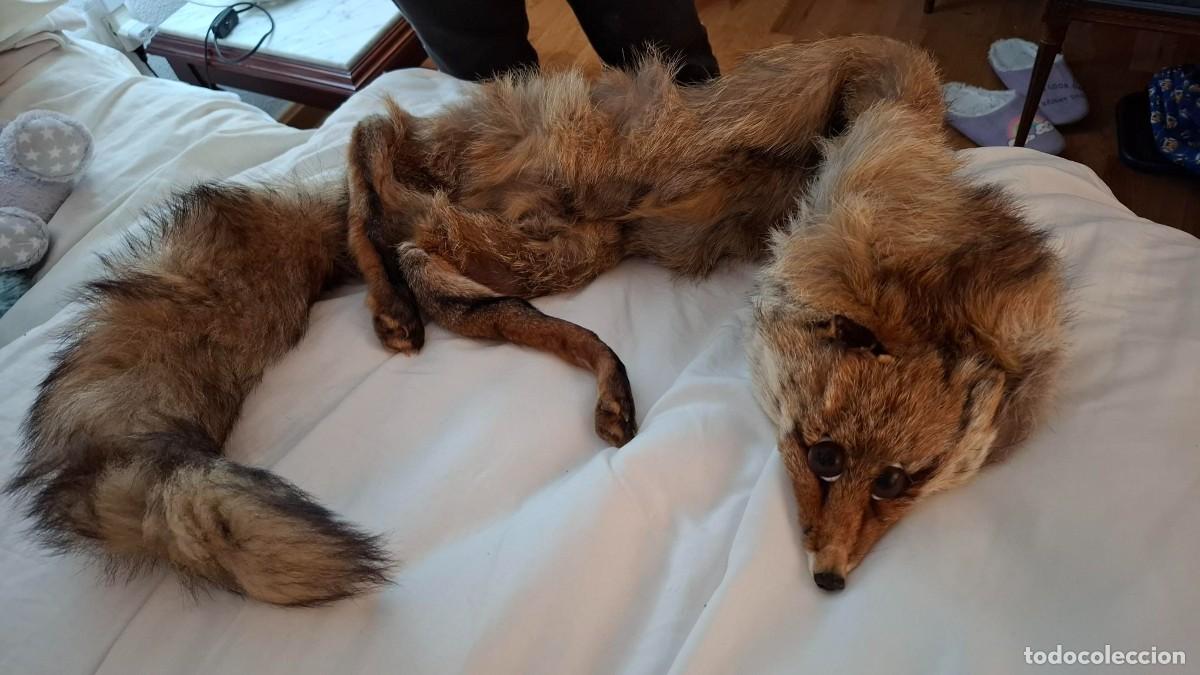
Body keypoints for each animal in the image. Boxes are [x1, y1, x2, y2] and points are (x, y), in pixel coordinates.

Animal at [5, 35, 1064, 605]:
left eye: (897, 481)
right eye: (826, 457)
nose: (830, 581)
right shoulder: (838, 87)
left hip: (561, 249)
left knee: (428, 252)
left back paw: (543, 358)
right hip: (558, 183)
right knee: (374, 140)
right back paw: (390, 292)